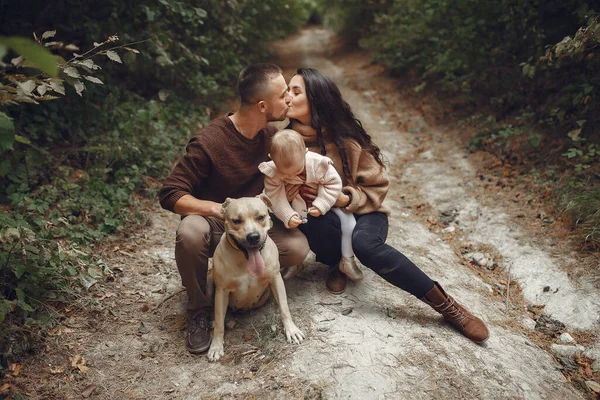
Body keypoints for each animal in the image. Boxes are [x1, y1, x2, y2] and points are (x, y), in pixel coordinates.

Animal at [209, 195, 308, 360]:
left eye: (260, 217)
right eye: (236, 221)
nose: (253, 237)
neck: (245, 259)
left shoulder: (275, 279)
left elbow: (284, 307)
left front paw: (291, 330)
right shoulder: (221, 290)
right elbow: (218, 322)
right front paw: (216, 346)